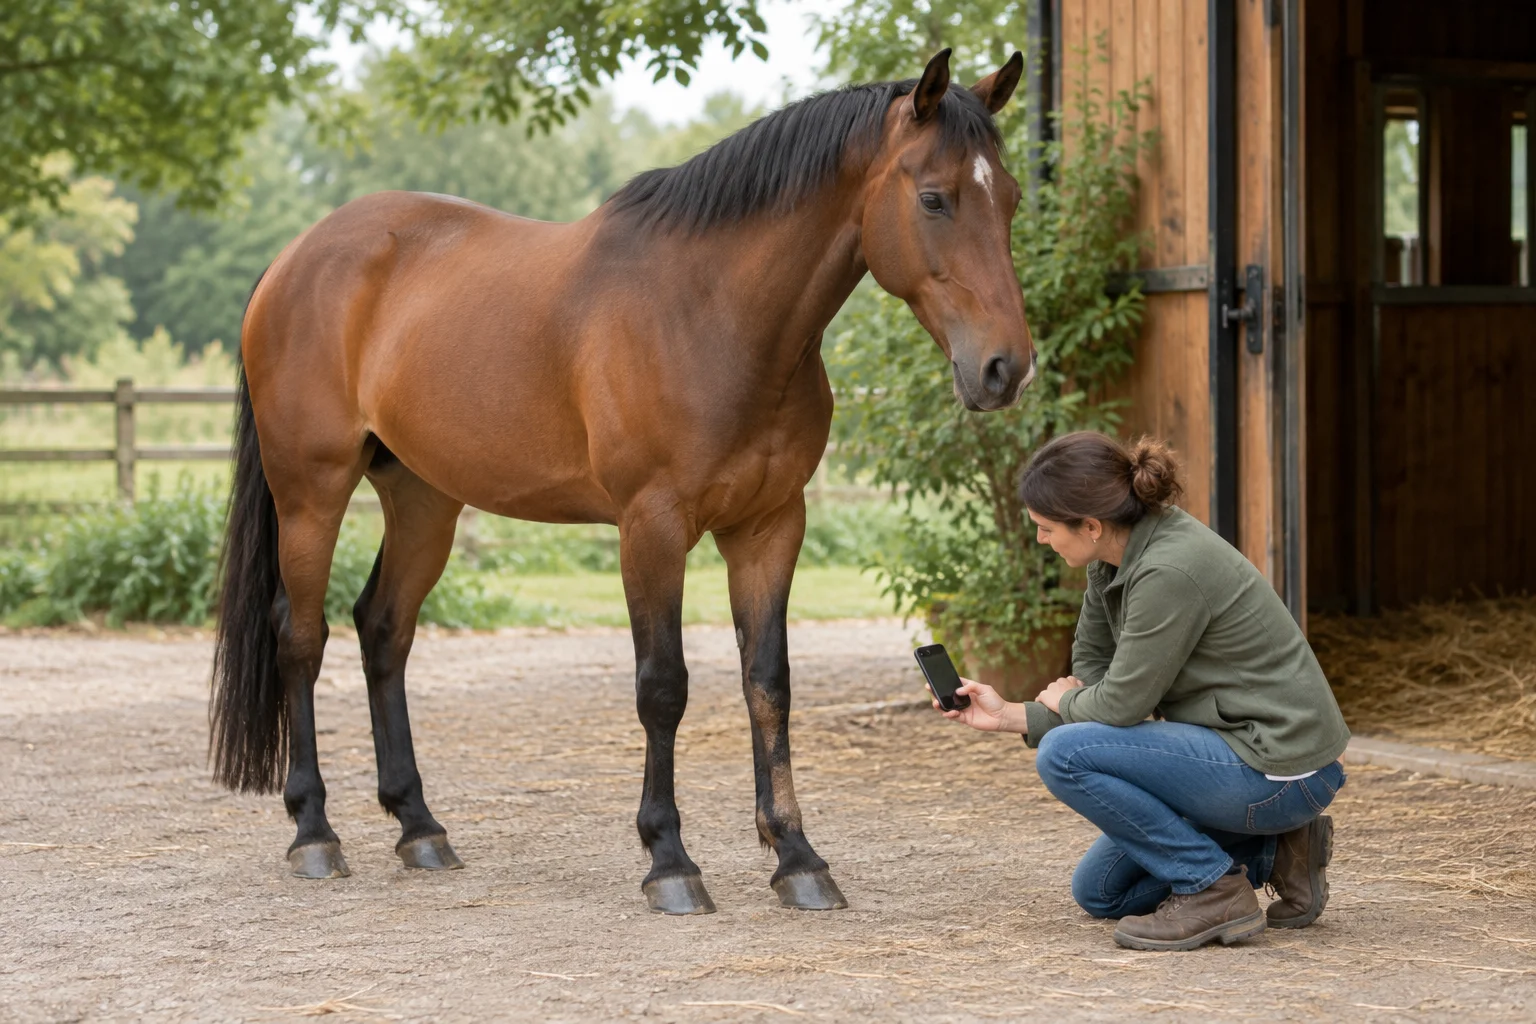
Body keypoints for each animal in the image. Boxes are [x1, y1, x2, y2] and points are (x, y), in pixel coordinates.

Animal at [209, 48, 1035, 915]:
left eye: (1010, 197)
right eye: (935, 197)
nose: (1005, 368)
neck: (712, 313)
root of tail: (295, 258)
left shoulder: (771, 525)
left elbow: (768, 683)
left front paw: (797, 856)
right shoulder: (652, 527)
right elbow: (663, 687)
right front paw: (669, 859)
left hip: (424, 498)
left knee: (383, 629)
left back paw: (420, 827)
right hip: (312, 491)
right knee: (301, 637)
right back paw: (314, 832)